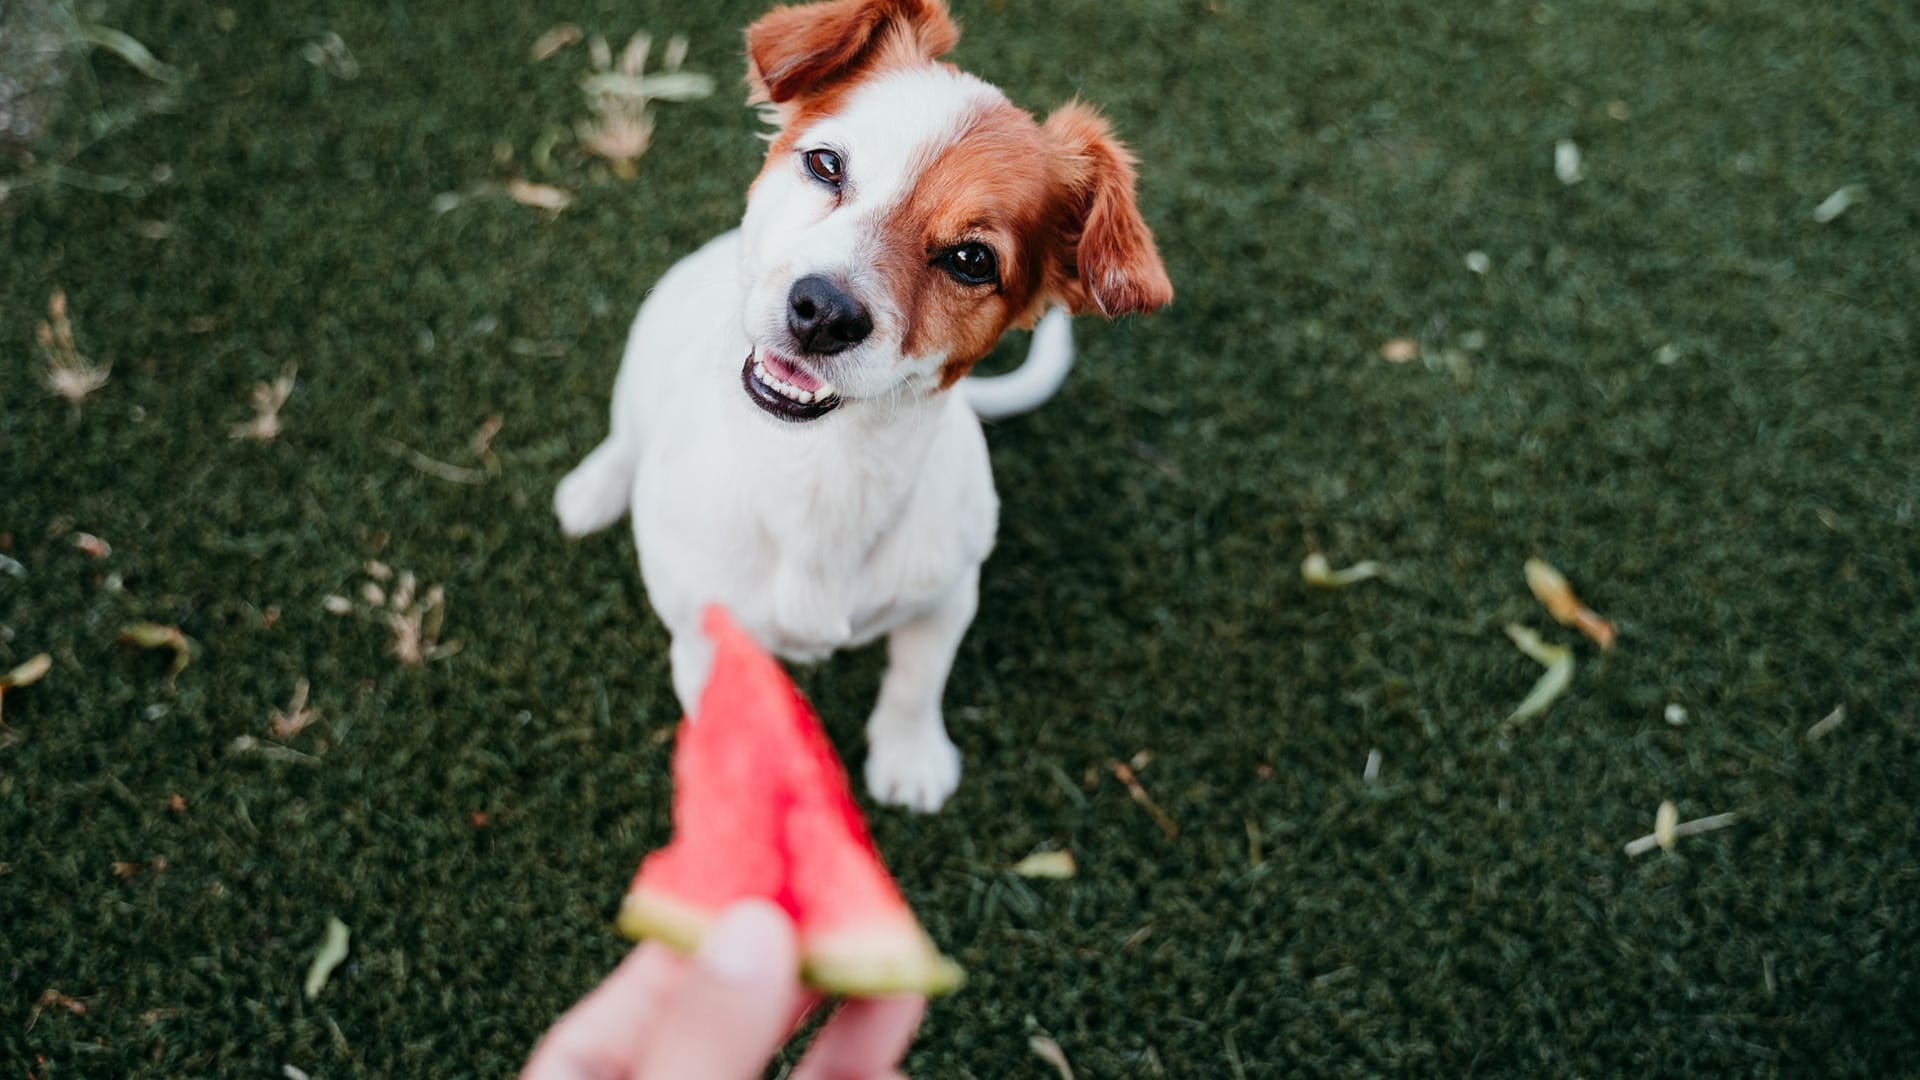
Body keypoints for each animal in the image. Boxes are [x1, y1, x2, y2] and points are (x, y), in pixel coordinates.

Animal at [549, 0, 1159, 807]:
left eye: (972, 260)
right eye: (826, 164)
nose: (823, 312)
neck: (824, 467)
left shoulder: (948, 599)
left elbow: (915, 682)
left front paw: (910, 758)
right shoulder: (707, 639)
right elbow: (734, 733)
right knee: (625, 436)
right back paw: (594, 490)